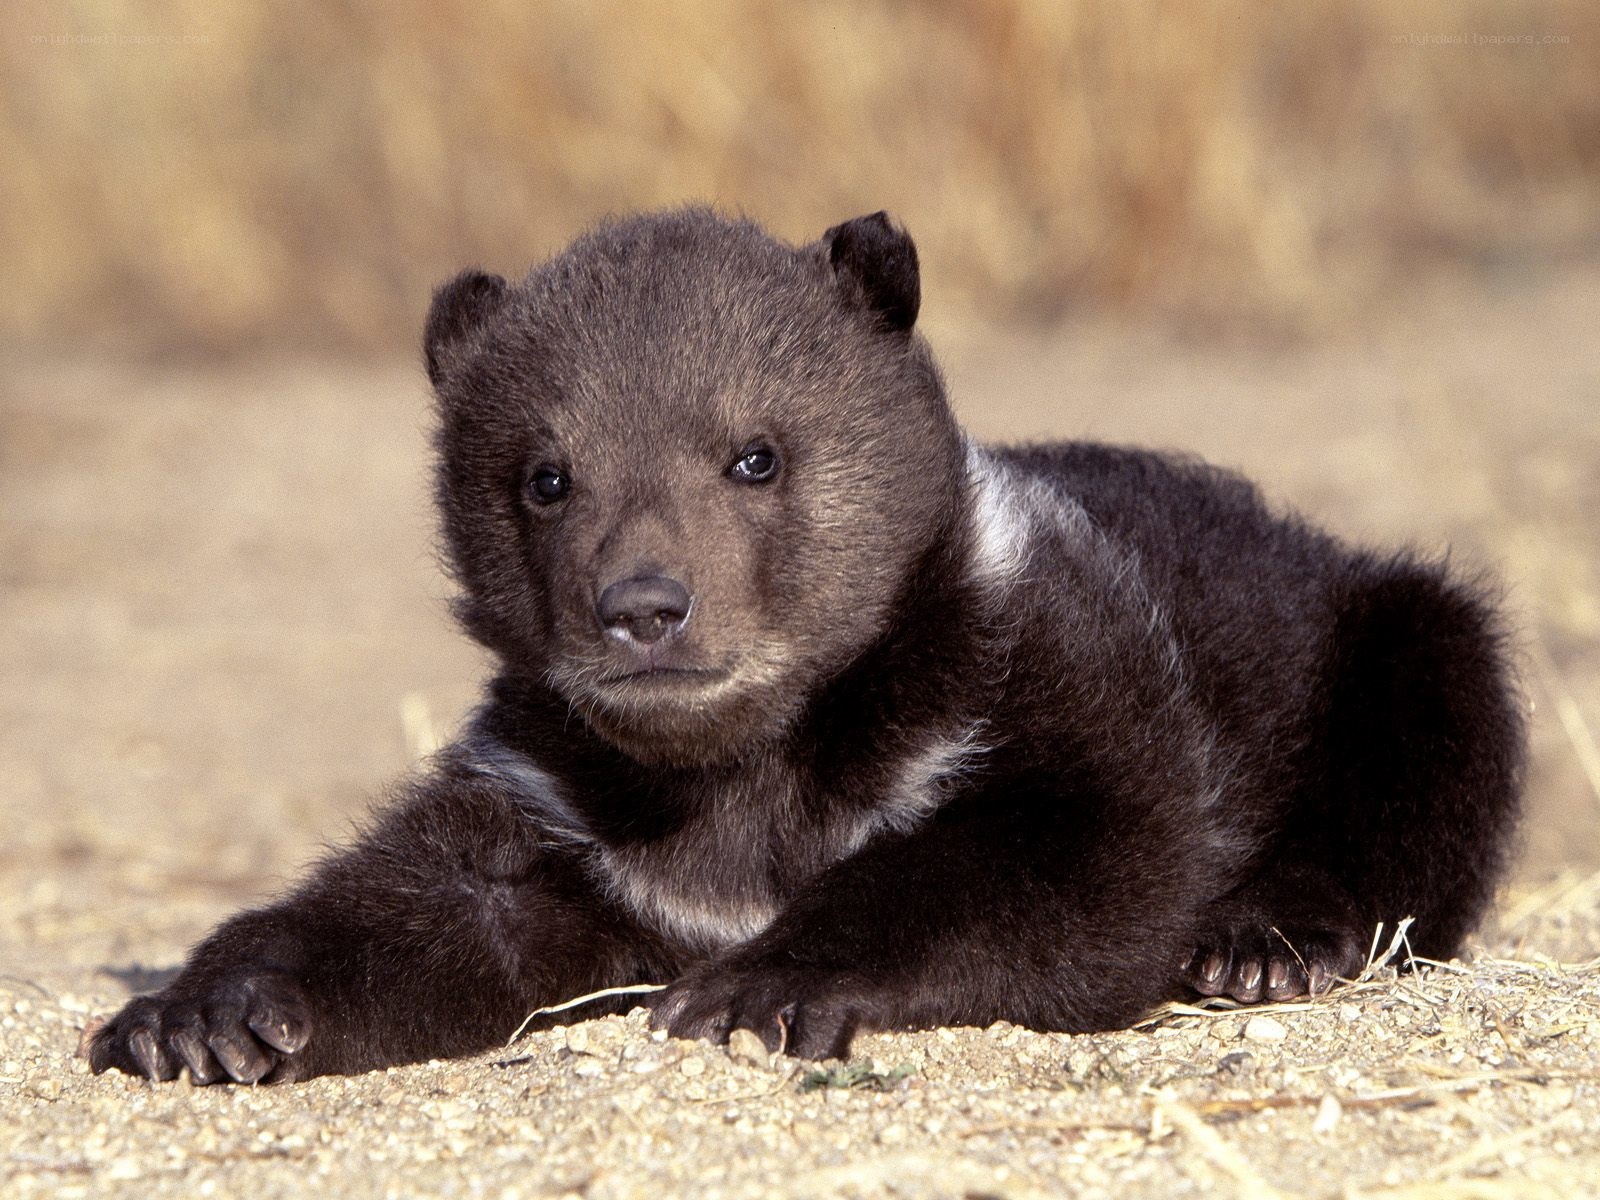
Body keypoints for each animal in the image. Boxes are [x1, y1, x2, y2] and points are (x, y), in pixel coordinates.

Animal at [87, 208, 1525, 1083]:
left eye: (755, 454)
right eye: (545, 475)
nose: (645, 606)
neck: (747, 765)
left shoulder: (1056, 680)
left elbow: (1066, 860)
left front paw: (755, 986)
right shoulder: (562, 803)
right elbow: (428, 905)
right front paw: (205, 1012)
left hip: (1380, 630)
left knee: (1432, 743)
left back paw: (1263, 938)